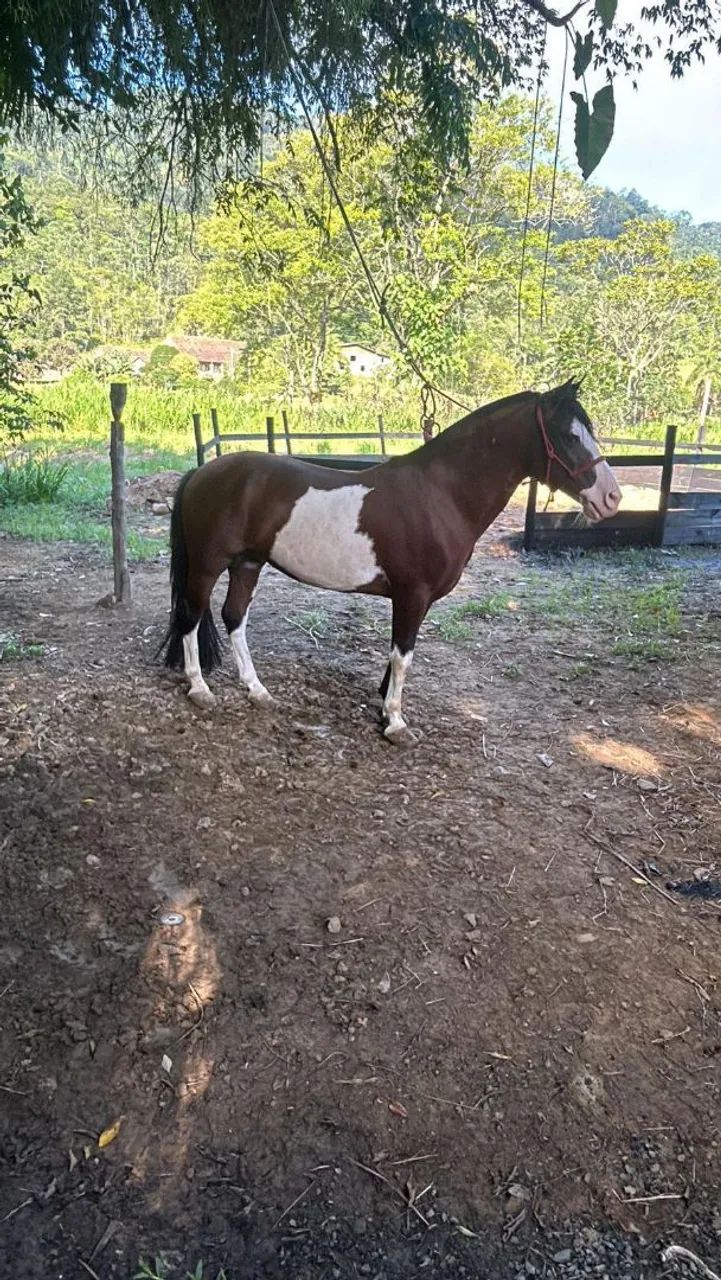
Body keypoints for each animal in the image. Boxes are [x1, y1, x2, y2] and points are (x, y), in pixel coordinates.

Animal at [159, 380, 621, 743]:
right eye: (568, 435)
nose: (611, 498)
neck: (441, 495)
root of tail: (202, 473)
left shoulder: (418, 599)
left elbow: (397, 655)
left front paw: (384, 708)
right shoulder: (411, 595)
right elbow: (403, 656)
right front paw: (396, 724)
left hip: (248, 564)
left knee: (234, 617)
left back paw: (257, 690)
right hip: (207, 565)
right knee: (192, 617)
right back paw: (199, 689)